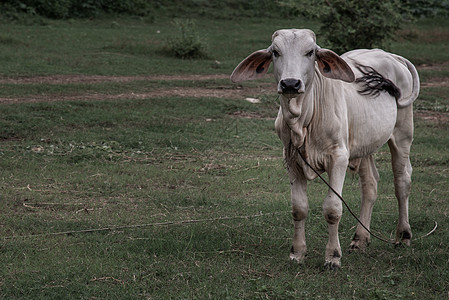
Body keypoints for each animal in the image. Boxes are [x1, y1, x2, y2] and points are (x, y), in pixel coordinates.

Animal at [231, 28, 420, 270]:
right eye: (275, 52)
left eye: (310, 52)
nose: (290, 84)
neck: (303, 120)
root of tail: (391, 55)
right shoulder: (291, 160)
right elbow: (299, 208)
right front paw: (297, 253)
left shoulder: (338, 157)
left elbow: (332, 209)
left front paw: (333, 256)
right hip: (364, 145)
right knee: (370, 184)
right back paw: (360, 239)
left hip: (402, 133)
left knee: (402, 180)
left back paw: (403, 235)